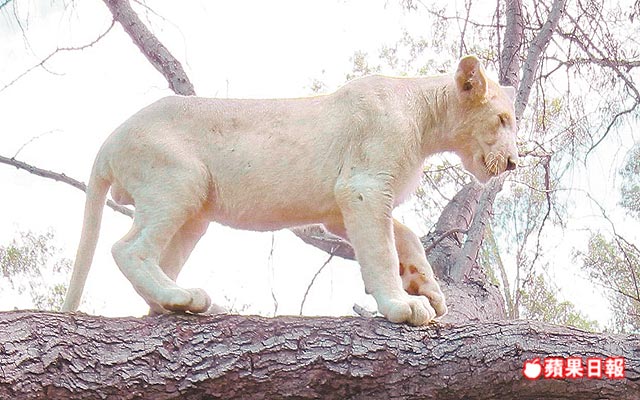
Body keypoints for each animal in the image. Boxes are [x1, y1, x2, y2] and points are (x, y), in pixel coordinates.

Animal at [61, 55, 520, 324]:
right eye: (502, 120)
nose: (514, 163)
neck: (427, 117)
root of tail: (107, 142)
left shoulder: (340, 207)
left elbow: (405, 237)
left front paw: (427, 288)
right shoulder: (363, 188)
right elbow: (381, 250)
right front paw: (401, 306)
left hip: (194, 215)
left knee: (155, 263)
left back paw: (181, 302)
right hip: (179, 182)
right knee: (128, 249)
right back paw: (181, 296)